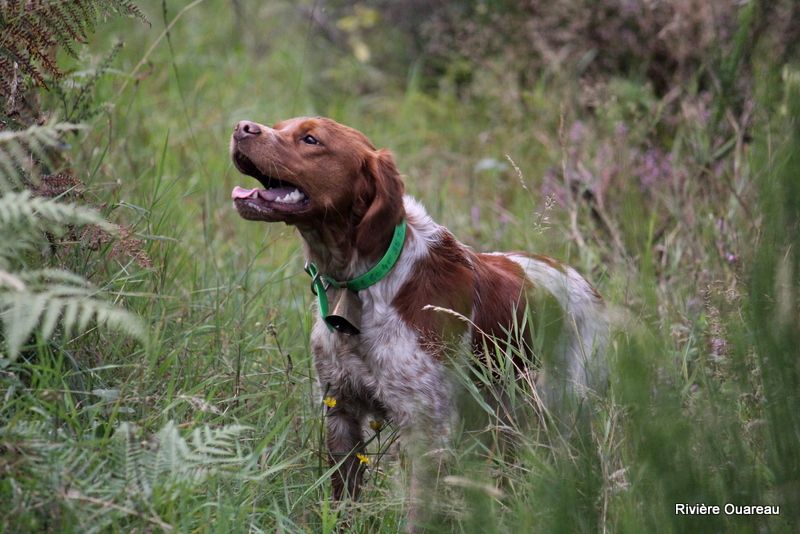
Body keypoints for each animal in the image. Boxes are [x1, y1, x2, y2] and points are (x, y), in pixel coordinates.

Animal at [230, 116, 608, 524]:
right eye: (281, 125)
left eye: (311, 139)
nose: (242, 126)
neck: (364, 284)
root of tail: (588, 285)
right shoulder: (340, 410)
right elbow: (345, 501)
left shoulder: (427, 430)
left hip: (563, 410)